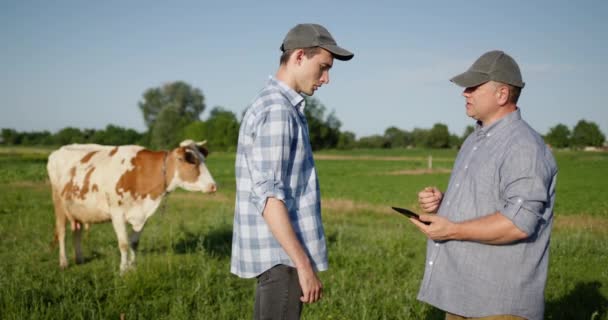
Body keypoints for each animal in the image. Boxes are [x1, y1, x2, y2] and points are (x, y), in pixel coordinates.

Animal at [47, 139, 216, 272]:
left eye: (204, 159)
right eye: (192, 161)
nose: (213, 186)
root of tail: (58, 151)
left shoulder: (142, 216)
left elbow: (134, 243)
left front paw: (133, 267)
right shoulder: (117, 214)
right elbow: (123, 244)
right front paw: (123, 270)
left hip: (79, 208)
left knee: (77, 230)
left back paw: (80, 258)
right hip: (58, 202)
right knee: (62, 232)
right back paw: (63, 262)